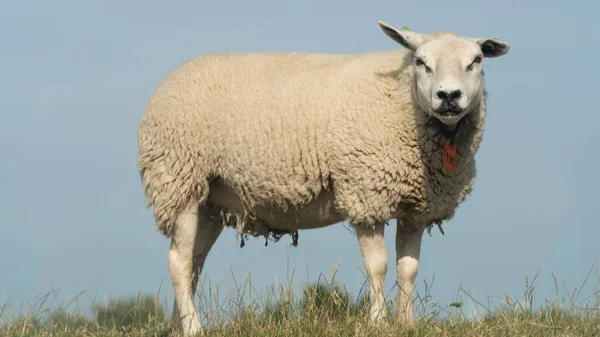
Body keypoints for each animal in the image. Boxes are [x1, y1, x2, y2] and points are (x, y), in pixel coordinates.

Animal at [137, 21, 510, 334]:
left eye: (476, 60)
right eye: (420, 62)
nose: (448, 96)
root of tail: (167, 82)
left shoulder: (415, 206)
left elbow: (408, 268)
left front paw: (407, 323)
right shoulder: (365, 191)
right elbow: (378, 266)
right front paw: (377, 322)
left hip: (209, 201)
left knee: (192, 263)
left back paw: (179, 327)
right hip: (178, 180)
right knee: (178, 262)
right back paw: (194, 327)